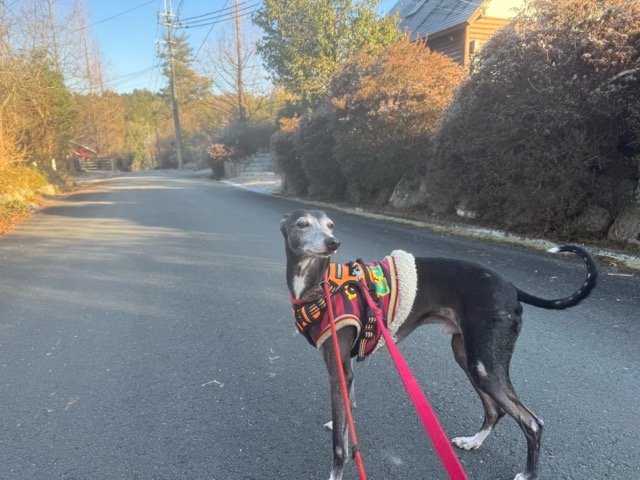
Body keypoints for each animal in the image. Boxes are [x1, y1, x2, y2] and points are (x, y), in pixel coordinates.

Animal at [280, 209, 598, 480]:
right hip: (467, 356)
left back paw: (529, 472)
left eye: (330, 225)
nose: (333, 242)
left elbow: (339, 447)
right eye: (302, 224)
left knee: (532, 422)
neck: (319, 287)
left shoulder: (338, 369)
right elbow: (348, 410)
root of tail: (510, 286)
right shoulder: (346, 370)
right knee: (496, 410)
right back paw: (473, 441)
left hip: (484, 366)